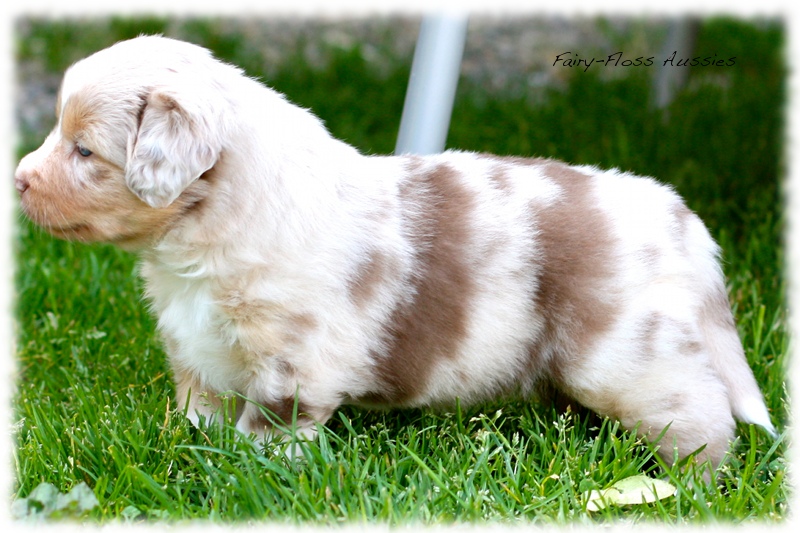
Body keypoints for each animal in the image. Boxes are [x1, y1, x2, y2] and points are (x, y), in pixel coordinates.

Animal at [14, 35, 776, 472]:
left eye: (84, 151)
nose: (18, 180)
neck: (199, 241)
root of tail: (679, 216)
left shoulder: (294, 357)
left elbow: (269, 425)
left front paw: (244, 472)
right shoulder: (197, 348)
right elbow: (197, 410)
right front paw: (188, 449)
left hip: (628, 356)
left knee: (700, 413)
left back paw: (690, 483)